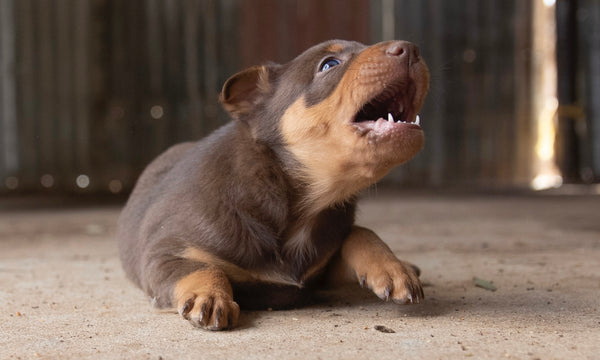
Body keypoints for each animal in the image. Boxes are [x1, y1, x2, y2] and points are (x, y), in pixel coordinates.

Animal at [117, 38, 426, 330]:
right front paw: (210, 297)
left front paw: (394, 269)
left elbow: (361, 233)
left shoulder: (321, 269)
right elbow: (203, 268)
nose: (411, 48)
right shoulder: (165, 254)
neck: (306, 204)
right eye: (329, 64)